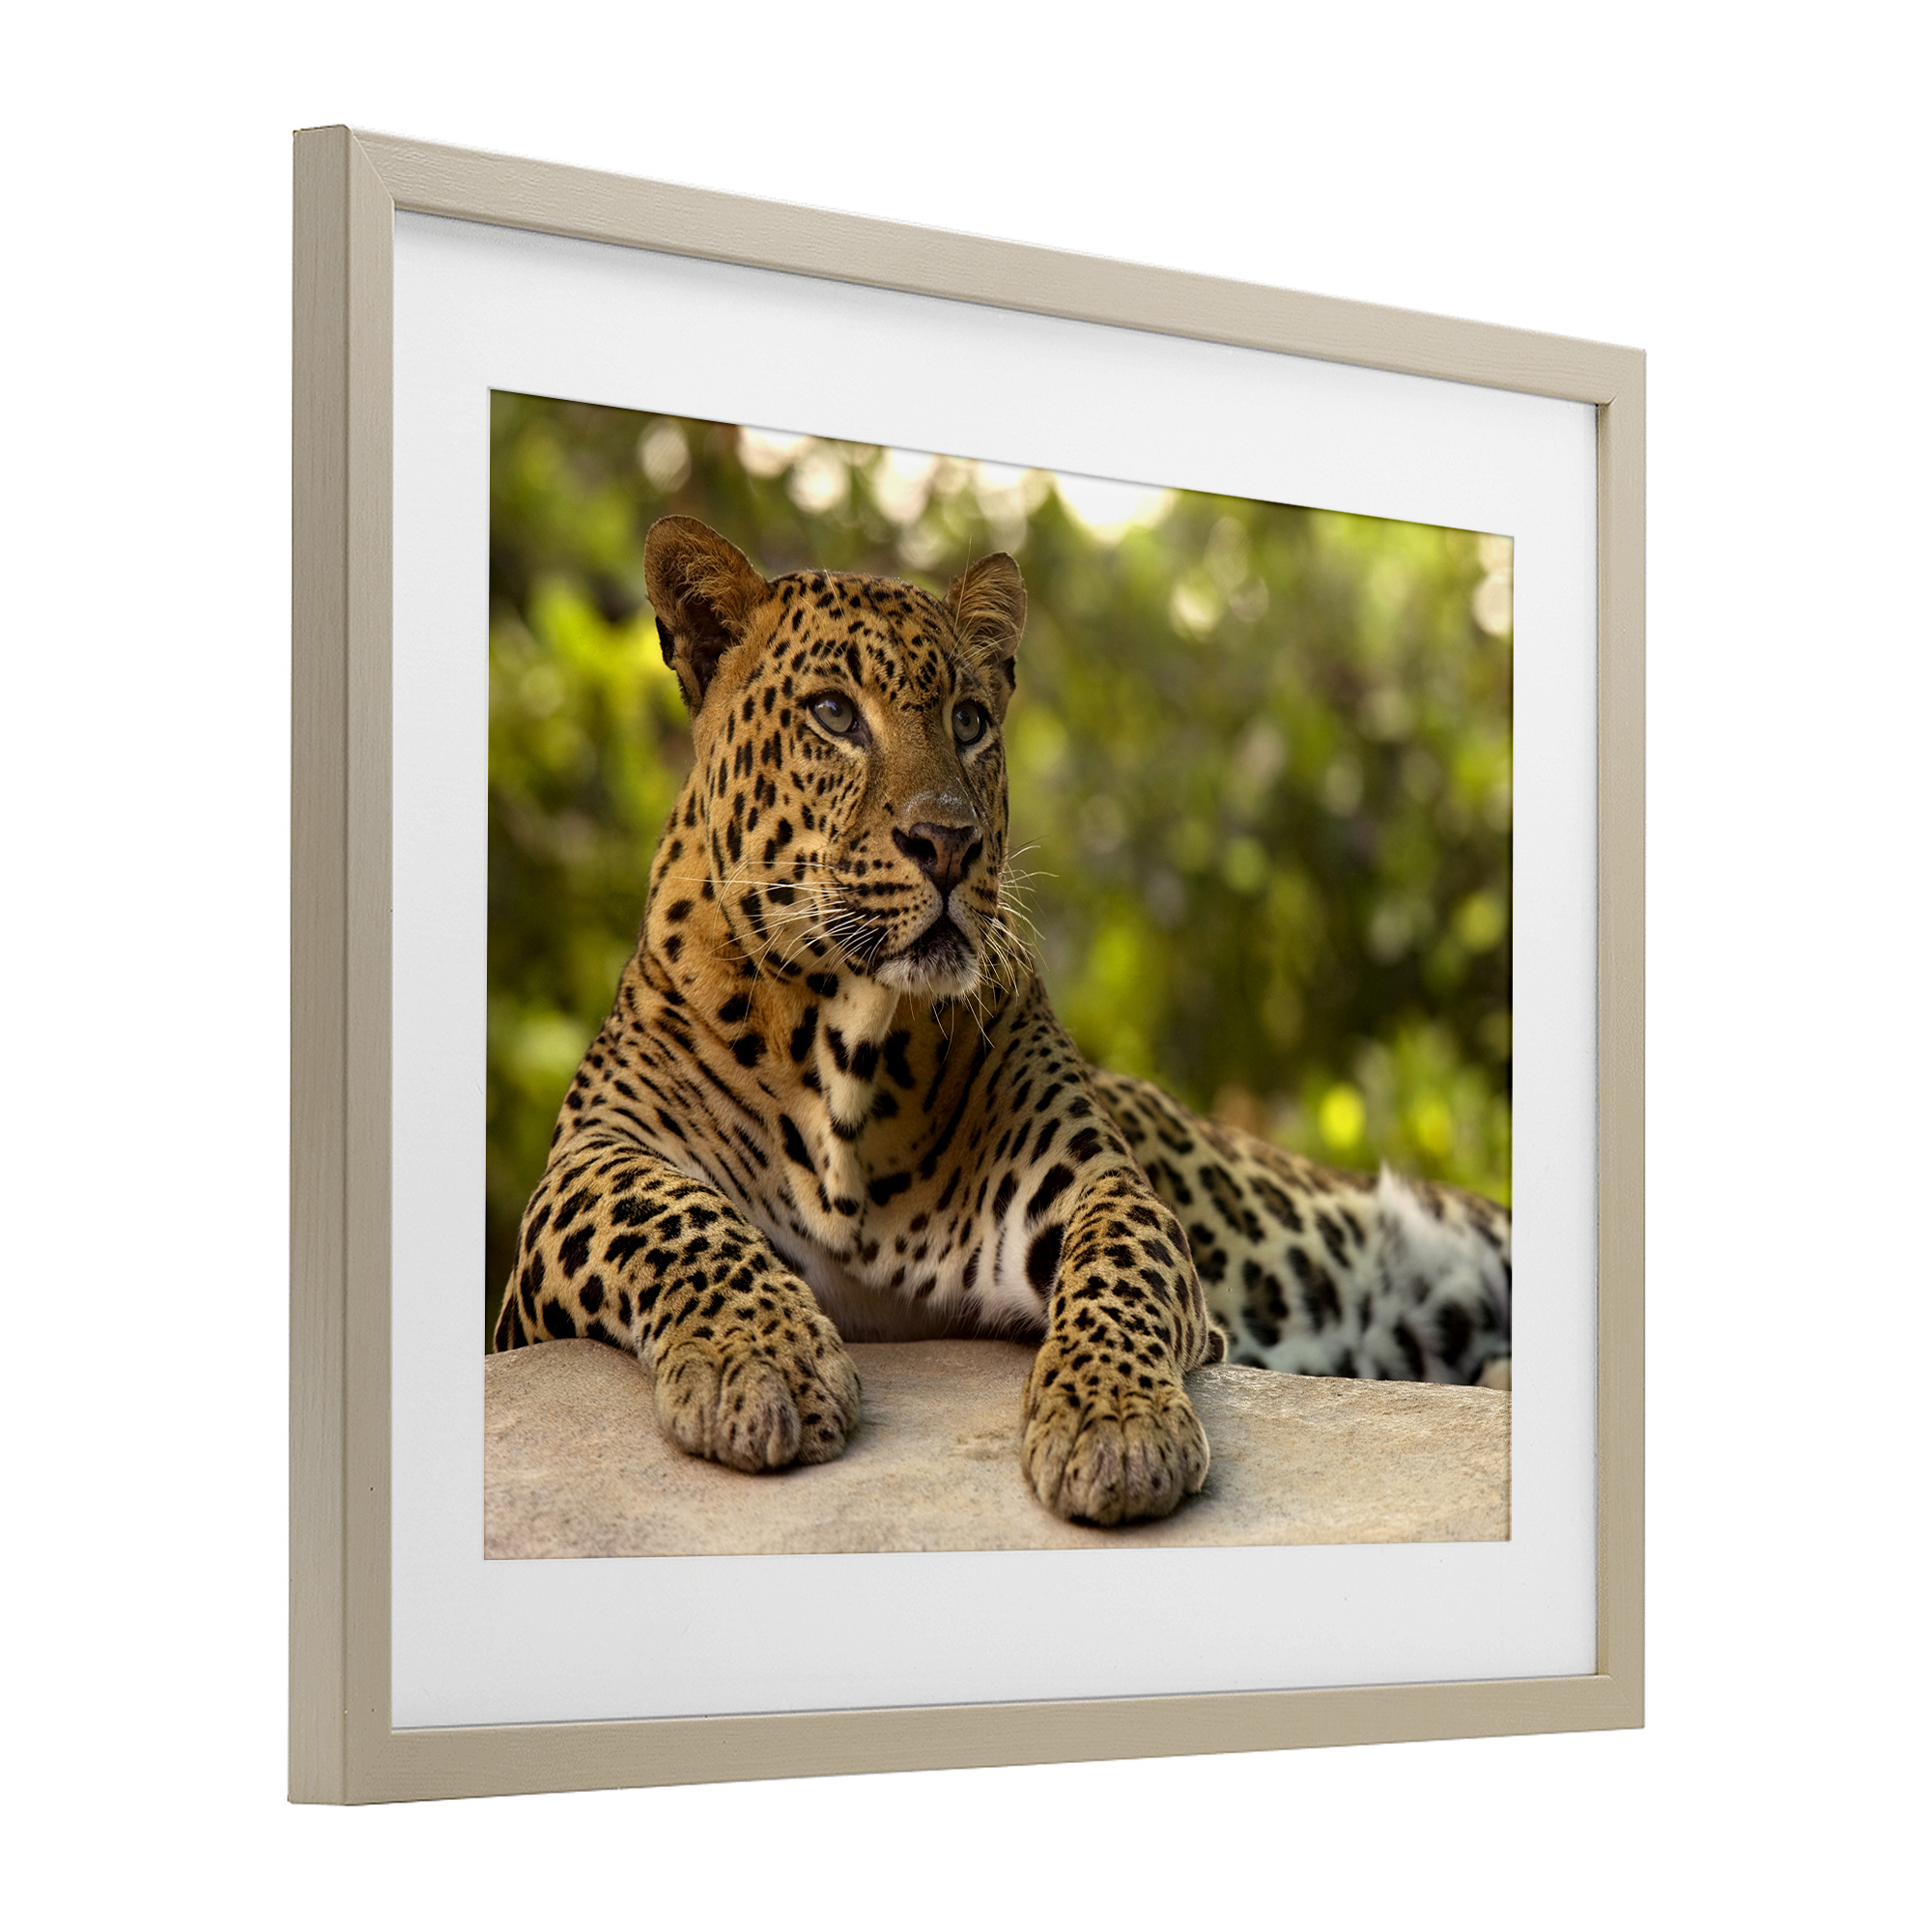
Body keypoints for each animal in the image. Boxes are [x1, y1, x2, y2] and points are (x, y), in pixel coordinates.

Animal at [492, 514, 1511, 1526]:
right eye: (834, 715)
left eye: (969, 721)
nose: (949, 842)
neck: (847, 1043)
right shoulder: (582, 1172)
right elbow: (667, 1215)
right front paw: (761, 1360)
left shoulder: (1089, 1179)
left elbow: (1120, 1263)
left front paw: (1115, 1424)